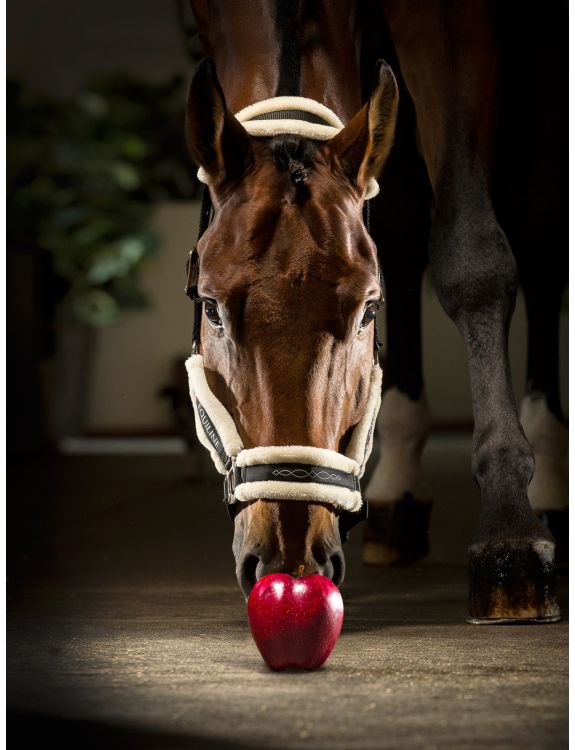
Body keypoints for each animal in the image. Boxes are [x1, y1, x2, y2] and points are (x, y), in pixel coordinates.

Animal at [184, 0, 568, 624]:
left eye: (368, 310)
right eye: (212, 308)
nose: (291, 556)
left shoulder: (452, 23)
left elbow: (473, 257)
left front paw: (508, 529)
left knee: (538, 236)